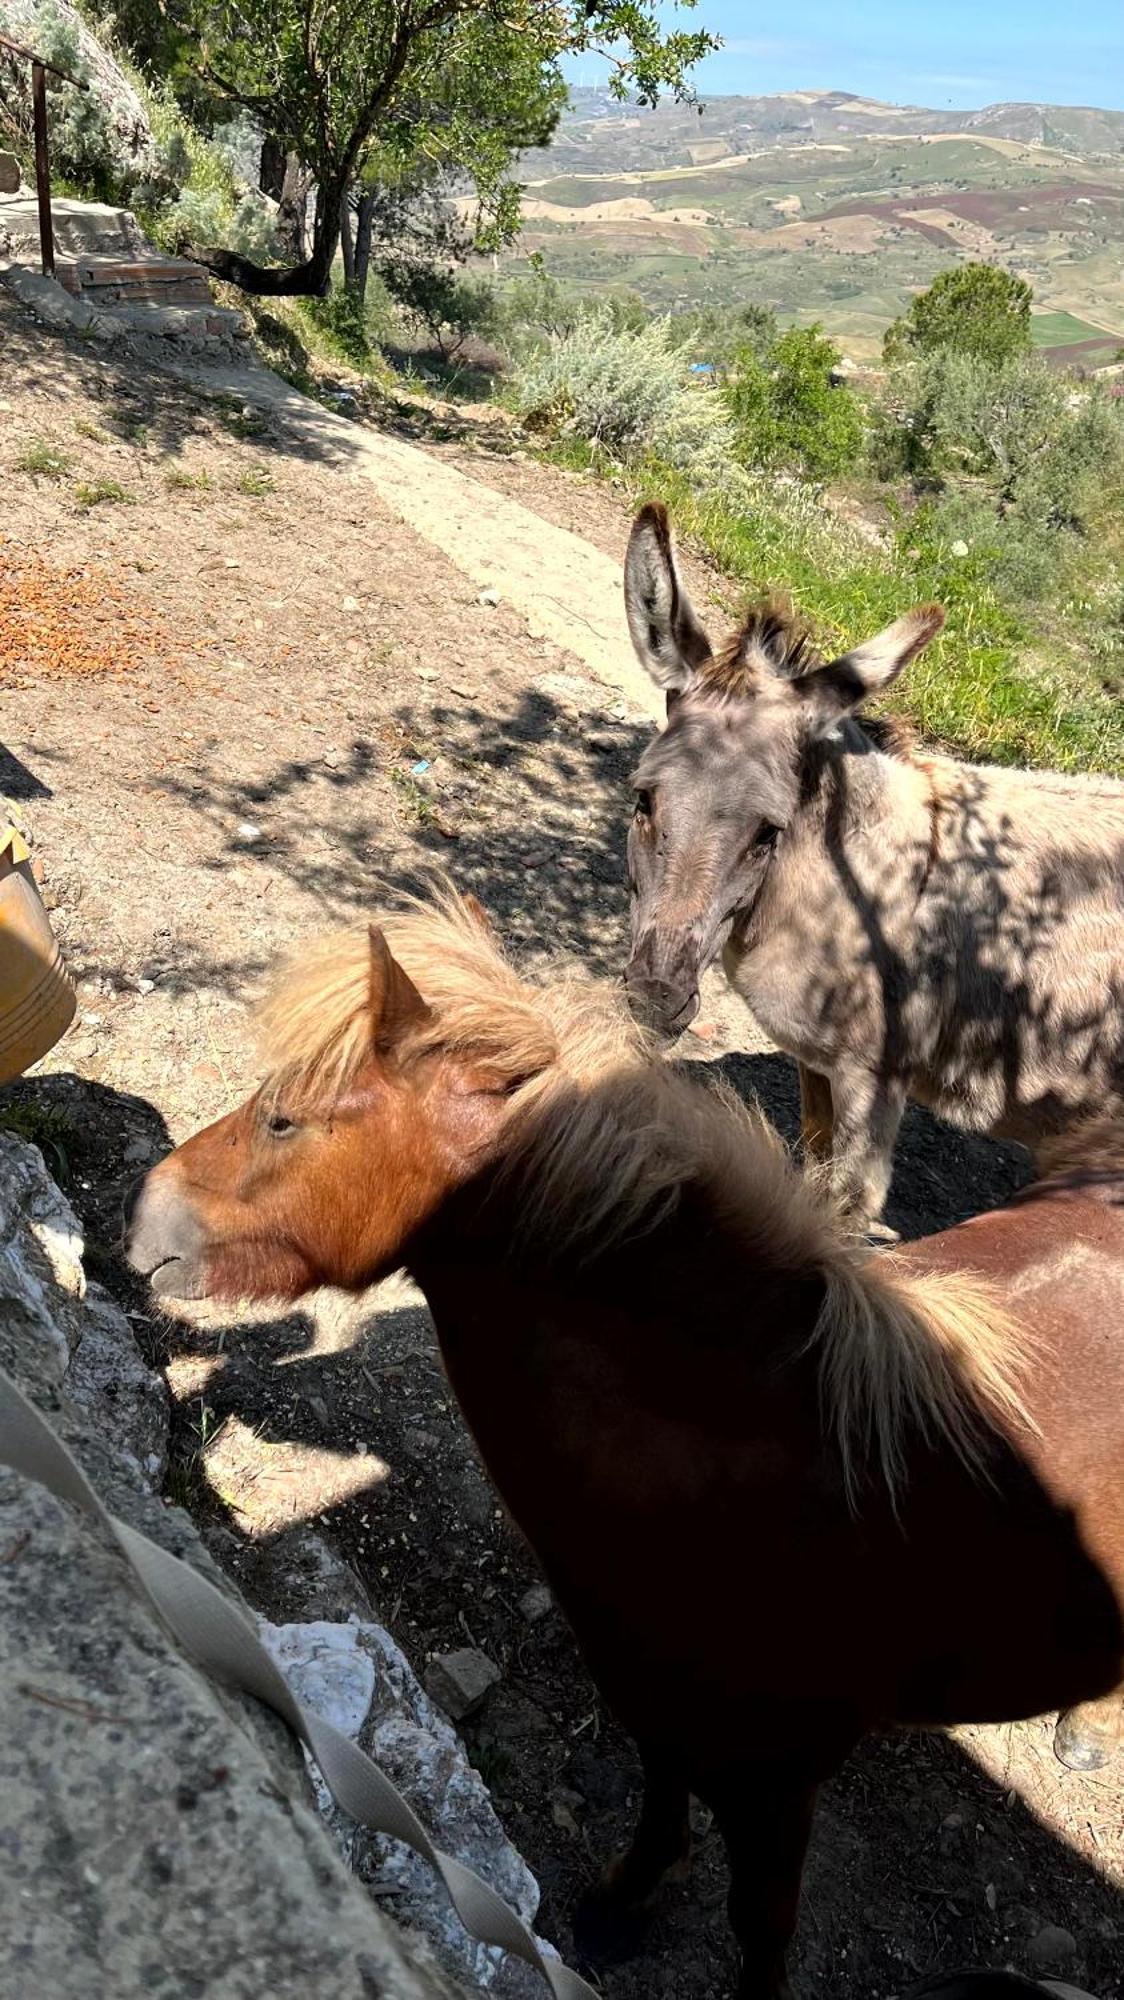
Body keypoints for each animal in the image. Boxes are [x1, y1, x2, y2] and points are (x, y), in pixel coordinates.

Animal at [122, 896, 1120, 2000]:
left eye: (284, 1119)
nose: (144, 1213)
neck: (756, 1443)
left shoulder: (780, 1781)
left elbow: (759, 1921)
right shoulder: (648, 1692)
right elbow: (659, 1791)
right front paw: (621, 1901)